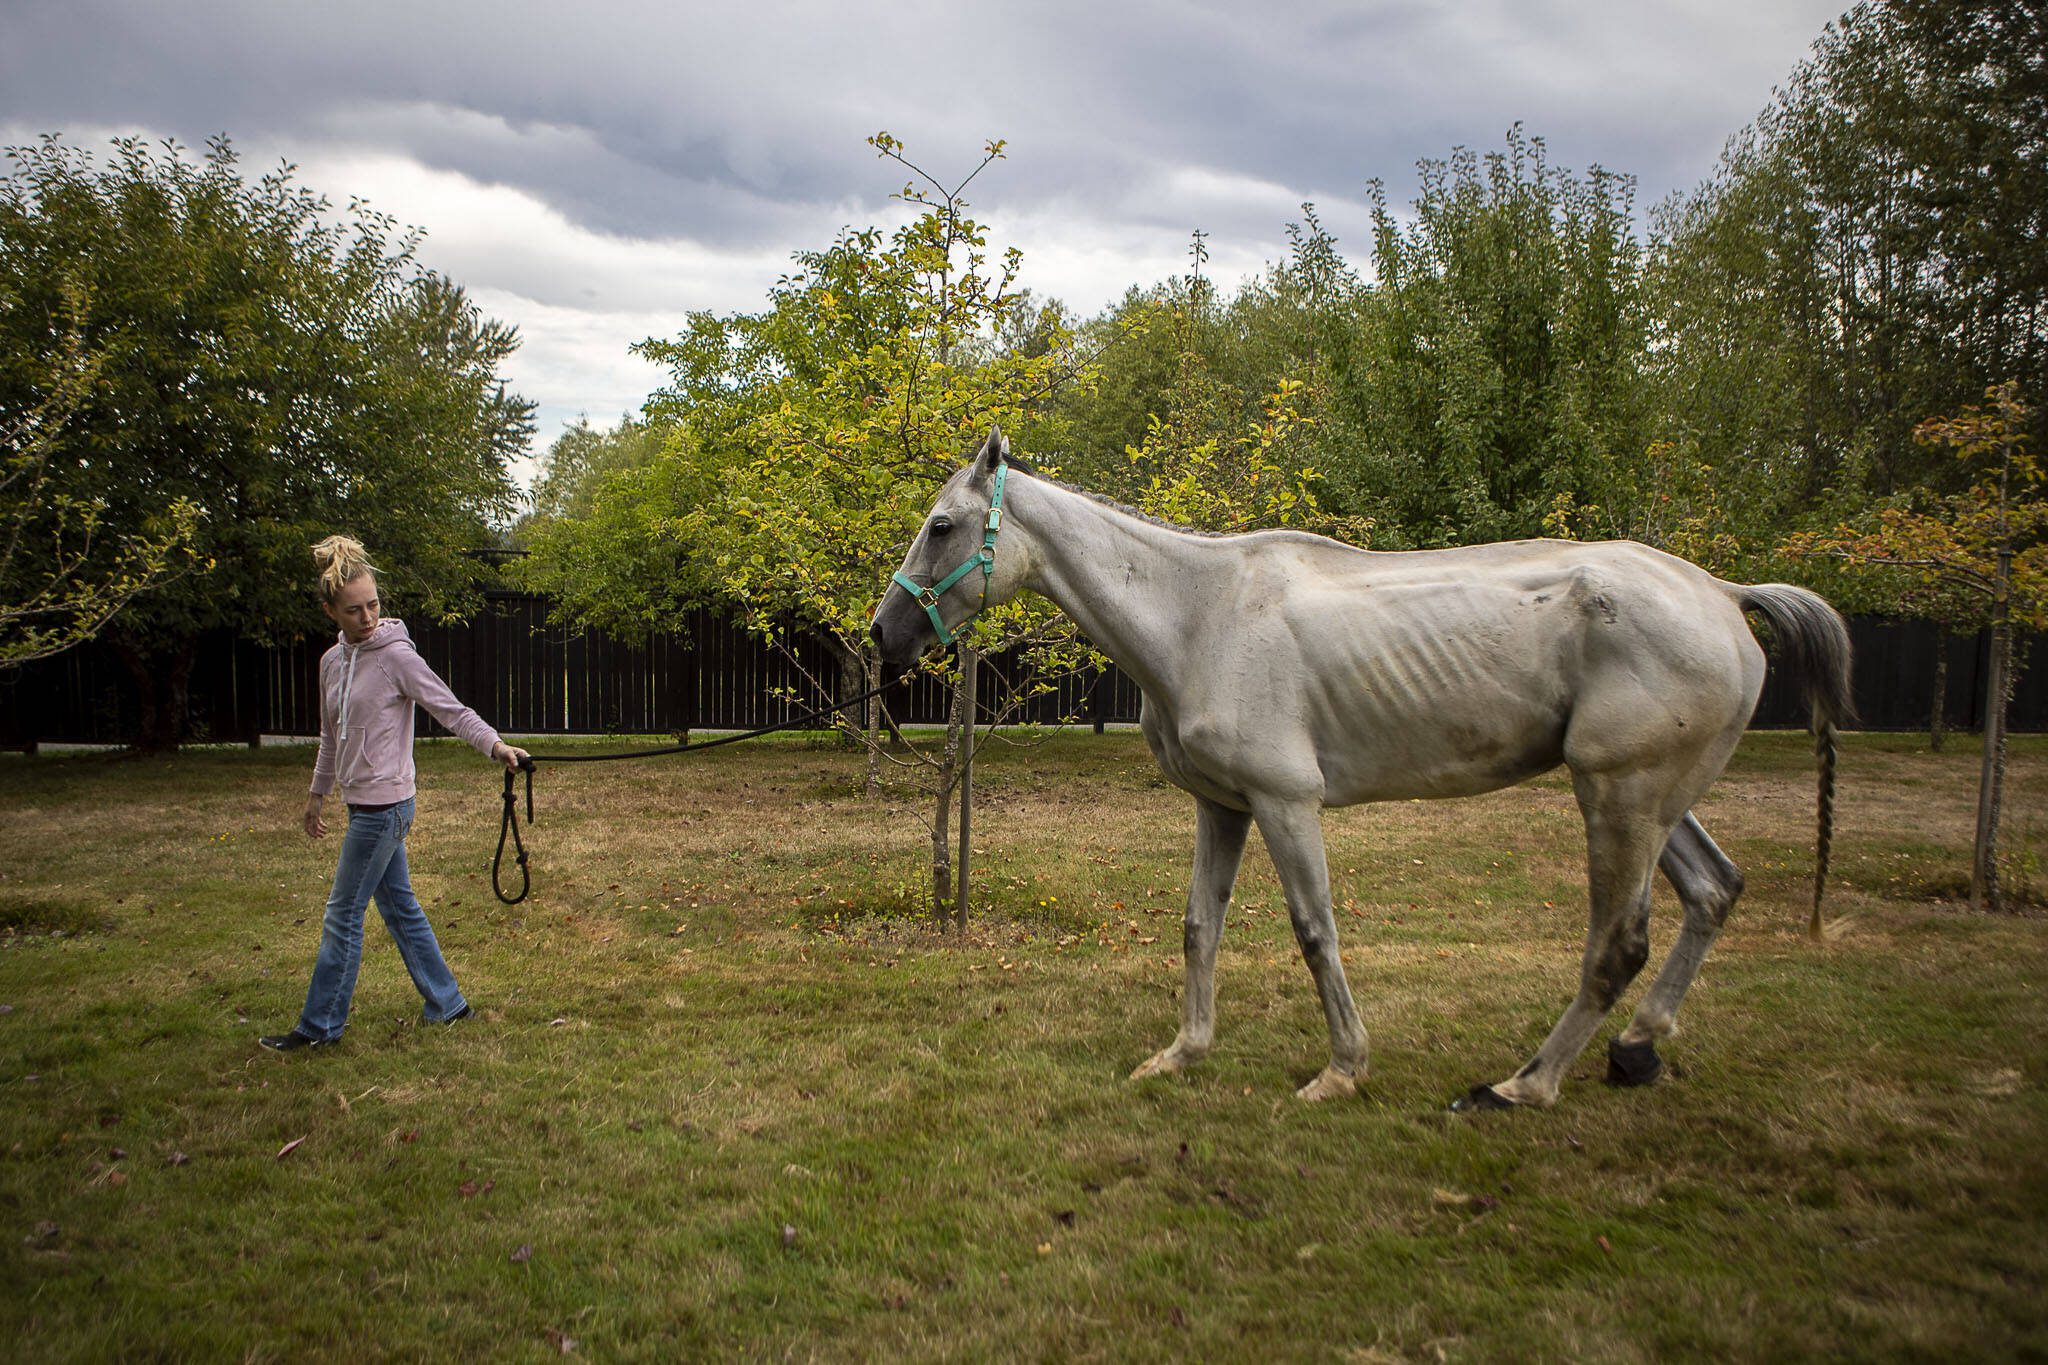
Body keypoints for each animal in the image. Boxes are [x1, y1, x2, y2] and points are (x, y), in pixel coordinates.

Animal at [872, 431, 1851, 1105]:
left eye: (942, 525)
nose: (884, 633)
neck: (1201, 613)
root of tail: (1723, 593)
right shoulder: (1223, 808)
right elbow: (1198, 928)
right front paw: (1183, 1052)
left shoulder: (1285, 802)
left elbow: (1316, 933)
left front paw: (1343, 1068)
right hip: (1652, 802)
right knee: (1713, 891)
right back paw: (1638, 1048)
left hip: (1619, 798)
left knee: (1619, 942)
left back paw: (1524, 1084)